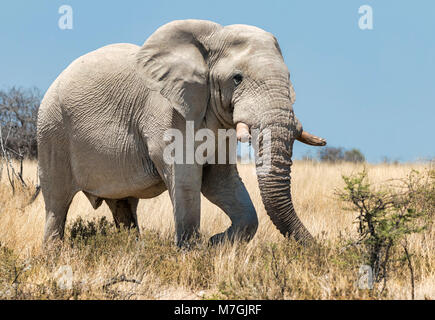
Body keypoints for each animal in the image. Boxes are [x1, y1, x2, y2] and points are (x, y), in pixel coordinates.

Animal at [37, 18, 326, 246]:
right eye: (237, 78)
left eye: (289, 78)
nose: (319, 249)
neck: (210, 39)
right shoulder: (167, 114)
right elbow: (186, 180)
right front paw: (194, 252)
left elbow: (221, 183)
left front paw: (215, 243)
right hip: (52, 132)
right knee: (57, 204)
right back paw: (54, 255)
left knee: (123, 205)